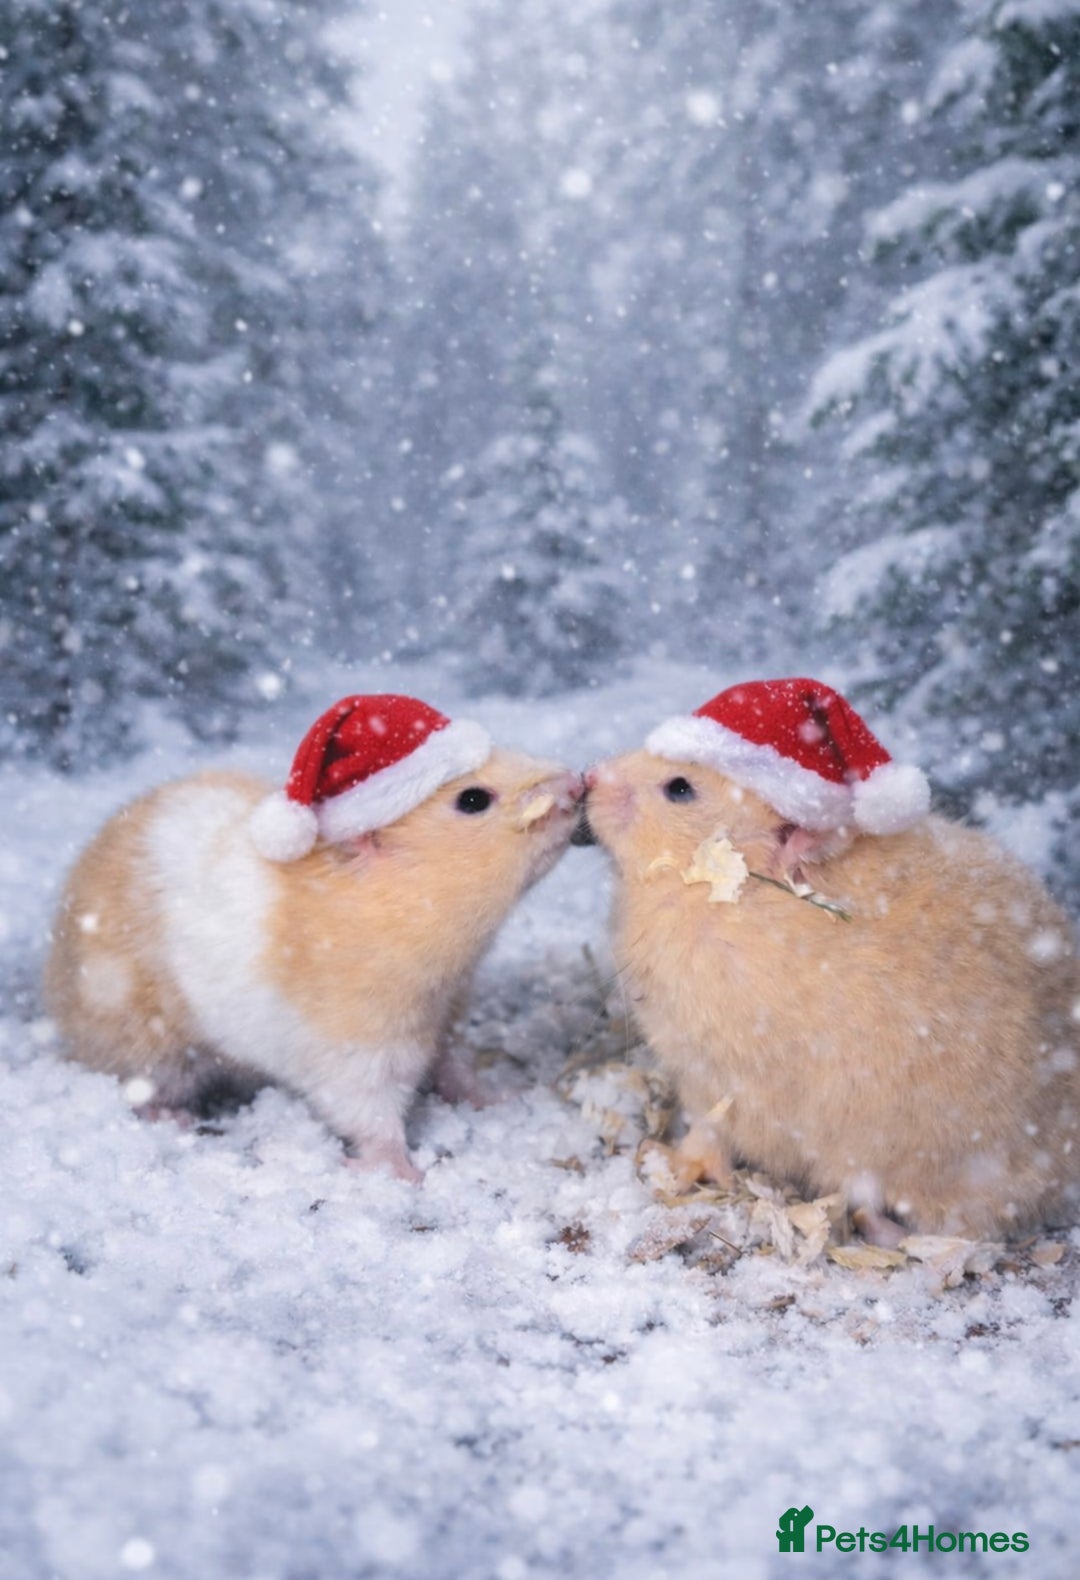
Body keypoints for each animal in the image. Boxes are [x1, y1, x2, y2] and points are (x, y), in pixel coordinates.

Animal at [45, 693, 583, 1181]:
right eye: (472, 800)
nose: (577, 782)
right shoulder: (357, 1050)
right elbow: (374, 1118)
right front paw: (399, 1173)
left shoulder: (443, 1018)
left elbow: (457, 1069)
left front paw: (502, 1095)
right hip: (147, 1044)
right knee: (140, 1087)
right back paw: (173, 1117)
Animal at [584, 678, 1080, 1242]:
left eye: (680, 789)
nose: (587, 777)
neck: (724, 894)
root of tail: (1055, 1181)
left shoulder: (720, 1074)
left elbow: (709, 1129)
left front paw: (671, 1168)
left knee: (873, 1204)